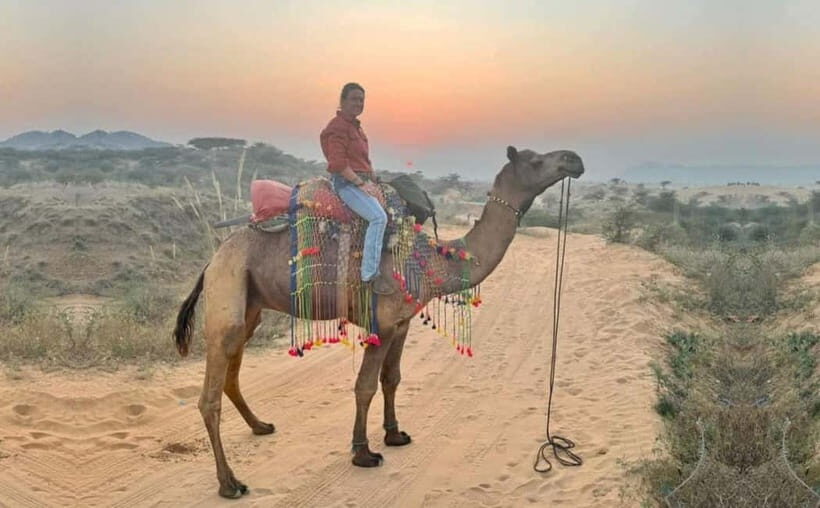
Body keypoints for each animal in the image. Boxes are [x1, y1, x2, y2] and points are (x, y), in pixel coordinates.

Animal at [173, 146, 584, 498]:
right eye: (534, 159)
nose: (574, 159)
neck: (432, 261)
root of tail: (212, 260)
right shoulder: (381, 324)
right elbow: (365, 386)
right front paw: (363, 452)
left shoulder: (401, 323)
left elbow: (392, 378)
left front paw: (395, 434)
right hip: (228, 289)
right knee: (209, 395)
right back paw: (229, 483)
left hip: (251, 307)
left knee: (231, 371)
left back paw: (260, 426)